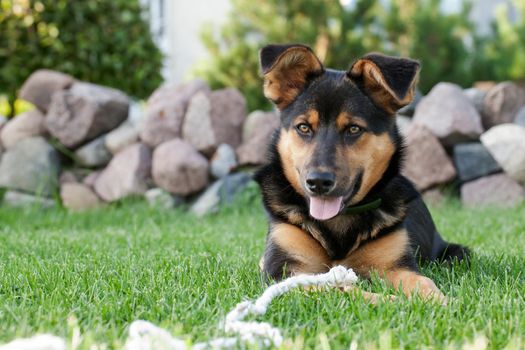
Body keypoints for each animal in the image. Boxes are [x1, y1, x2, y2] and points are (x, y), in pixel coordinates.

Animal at [252, 43, 468, 300]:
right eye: (303, 127)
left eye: (354, 129)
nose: (318, 182)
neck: (337, 222)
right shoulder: (286, 271)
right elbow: (343, 290)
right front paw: (390, 301)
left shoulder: (396, 265)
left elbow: (423, 283)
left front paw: (437, 301)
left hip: (457, 254)